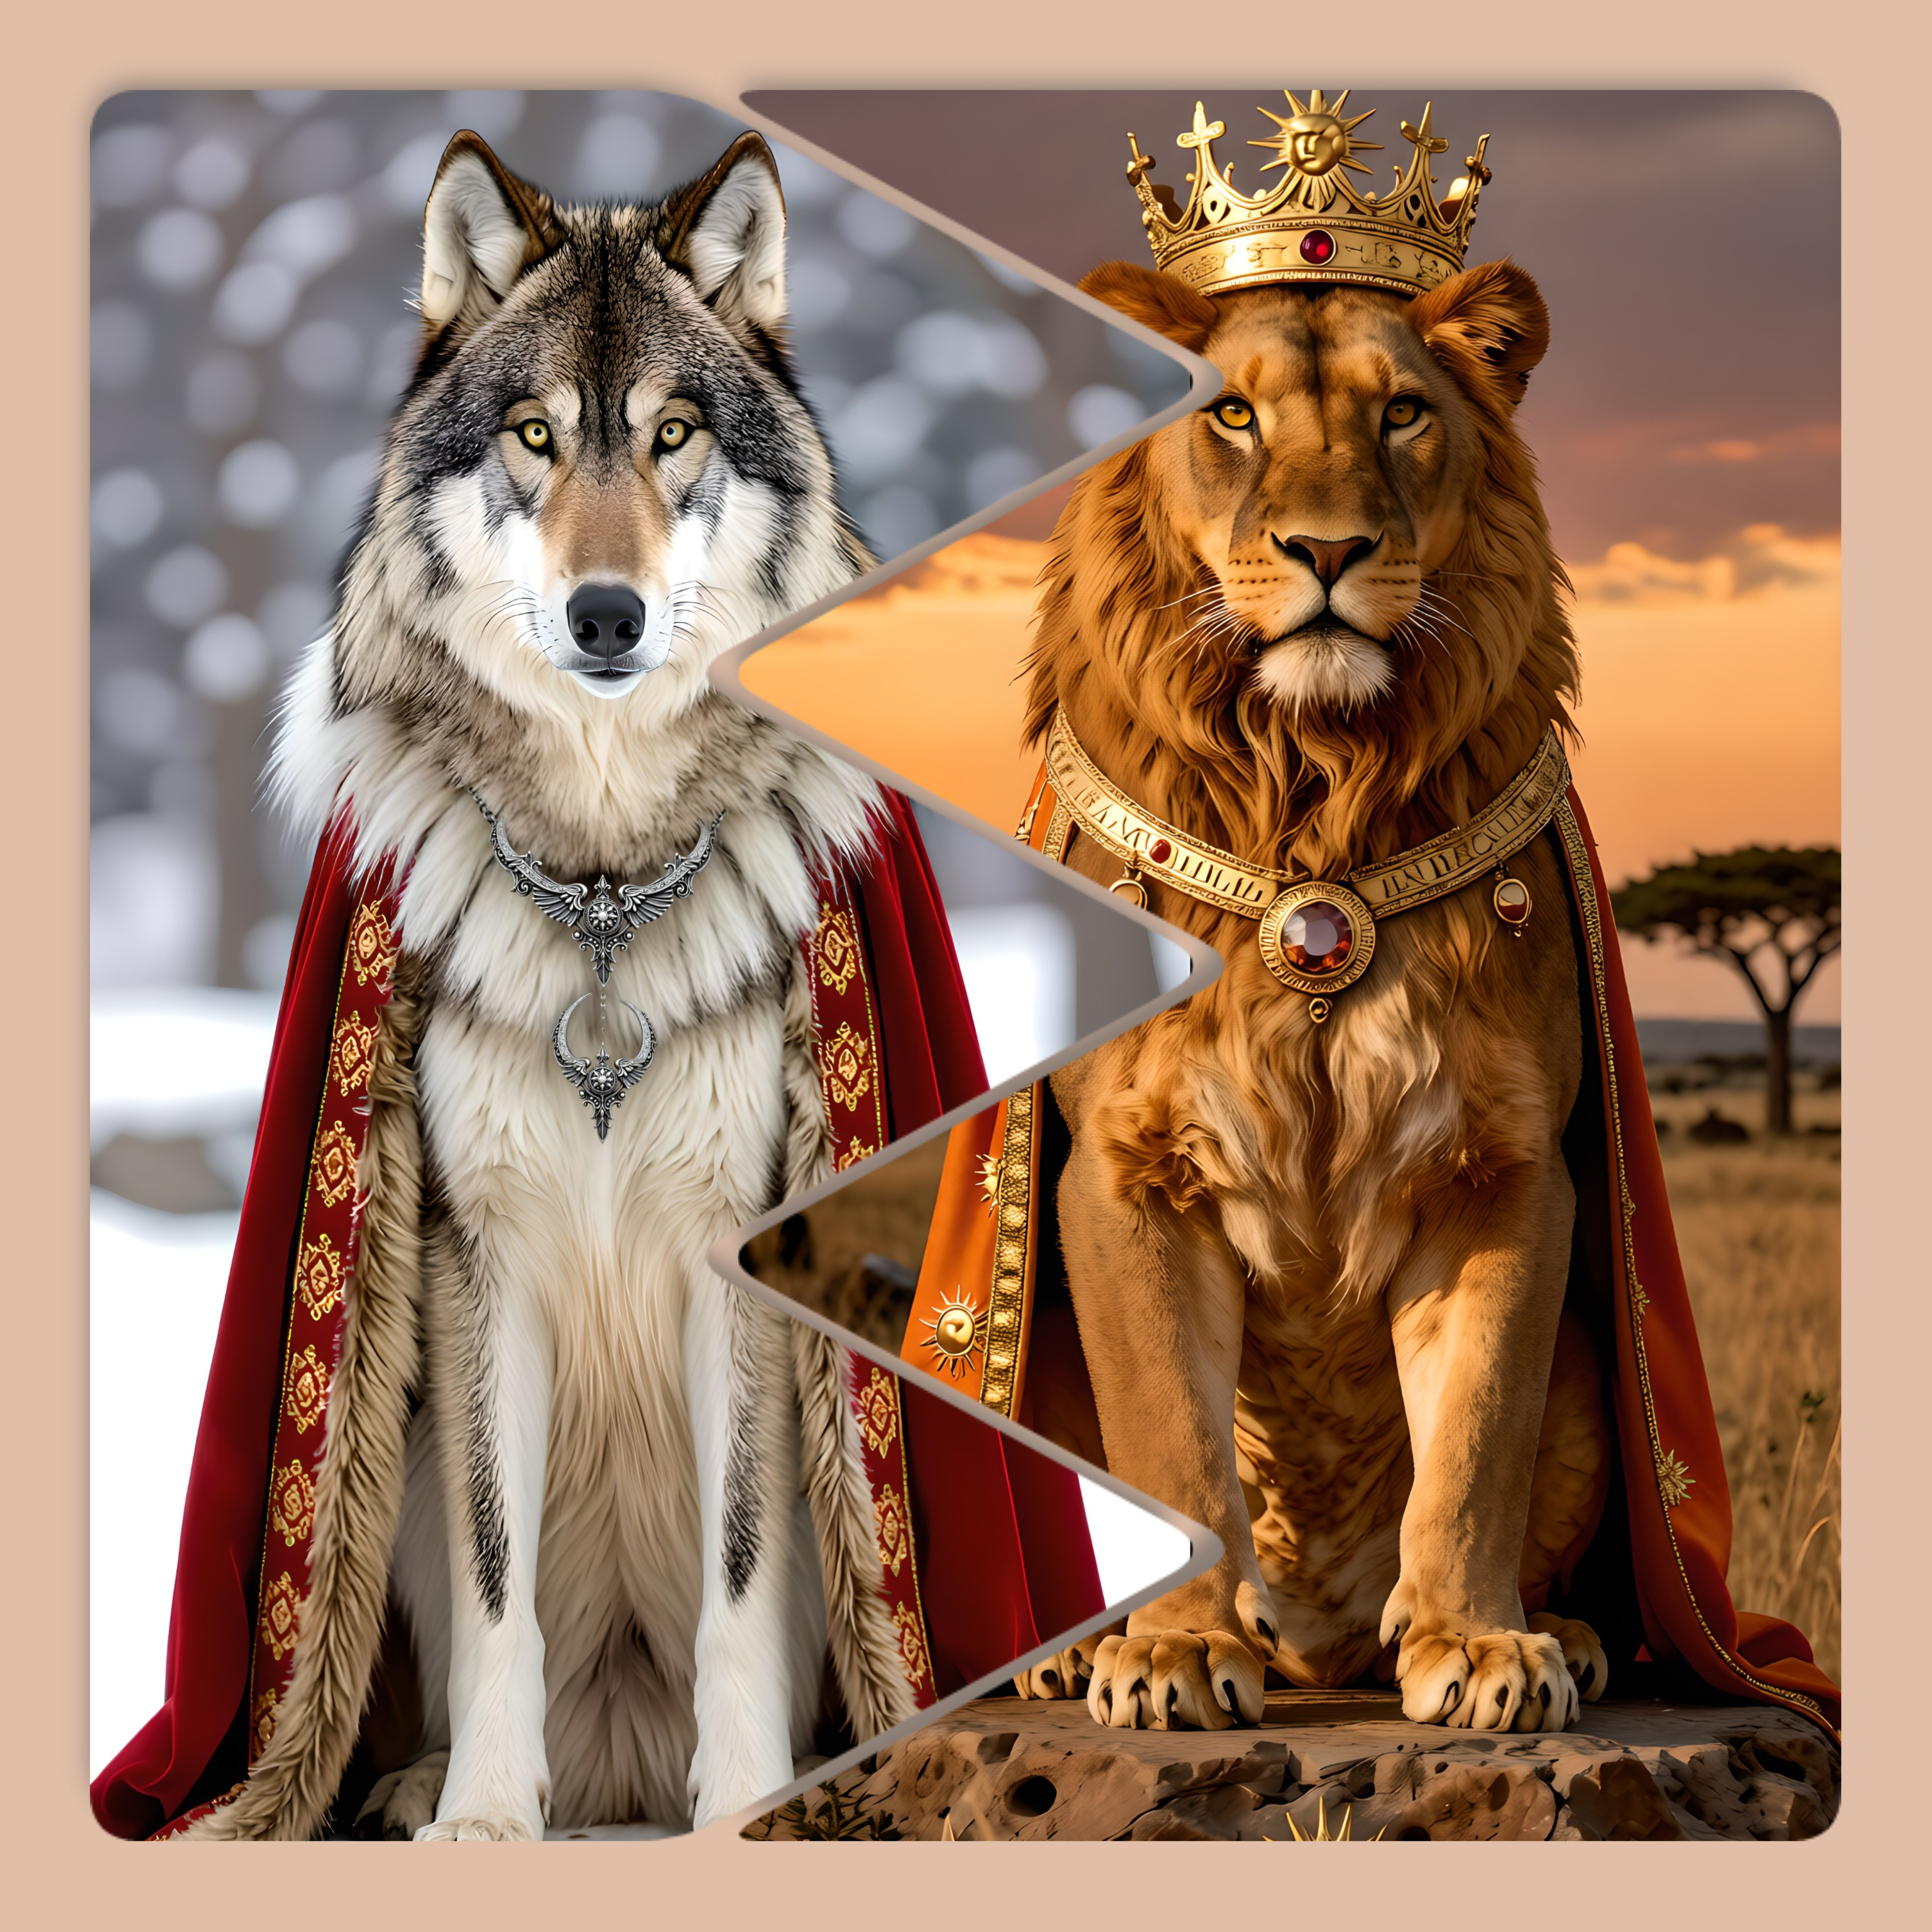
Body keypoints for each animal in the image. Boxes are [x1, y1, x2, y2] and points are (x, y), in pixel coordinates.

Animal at [217, 128, 914, 1840]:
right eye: (536, 435)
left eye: (670, 434)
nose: (610, 615)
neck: (602, 893)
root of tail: (621, 1755)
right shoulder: (477, 1263)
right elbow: (493, 1575)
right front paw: (480, 1816)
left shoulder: (746, 1254)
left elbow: (740, 1571)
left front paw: (748, 1811)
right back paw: (409, 1783)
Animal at [1008, 254, 1616, 1735]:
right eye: (1232, 415)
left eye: (1403, 413)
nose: (1328, 553)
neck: (1313, 783)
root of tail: (1319, 1654)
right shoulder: (1128, 1173)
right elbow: (1170, 1441)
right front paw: (1171, 1658)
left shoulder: (1505, 1170)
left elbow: (1477, 1433)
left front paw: (1481, 1647)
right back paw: (1068, 1655)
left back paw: (1563, 1633)